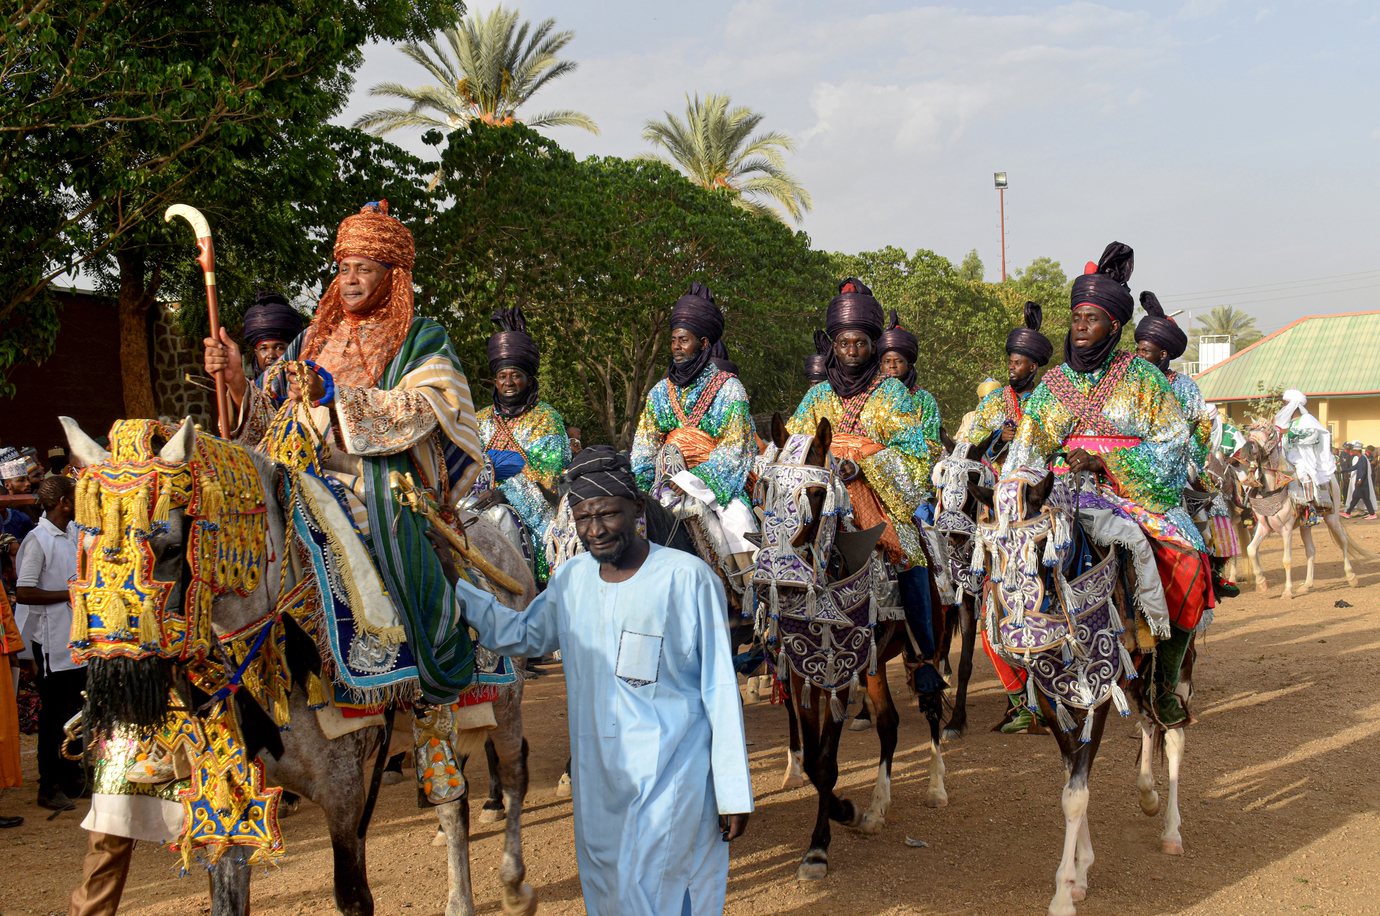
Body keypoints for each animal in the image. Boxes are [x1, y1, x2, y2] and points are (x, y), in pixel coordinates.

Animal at [65, 419, 538, 916]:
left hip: (505, 705)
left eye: (171, 547)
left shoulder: (343, 792)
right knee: (453, 801)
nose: (117, 683)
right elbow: (227, 899)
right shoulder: (228, 796)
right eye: (86, 545)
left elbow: (353, 896)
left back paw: (511, 881)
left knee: (513, 774)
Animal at [756, 413, 949, 882]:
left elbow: (826, 762)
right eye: (766, 488)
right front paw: (847, 811)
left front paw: (819, 847)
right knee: (889, 724)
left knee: (932, 707)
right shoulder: (808, 673)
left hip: (926, 649)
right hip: (873, 665)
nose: (778, 580)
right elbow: (811, 761)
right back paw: (877, 809)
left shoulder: (839, 673)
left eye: (816, 493)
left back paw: (935, 786)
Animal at [971, 469, 1197, 910]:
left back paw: (1172, 832)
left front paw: (1063, 892)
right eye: (992, 552)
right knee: (1147, 724)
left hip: (1173, 668)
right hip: (1137, 675)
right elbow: (1071, 778)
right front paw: (1080, 873)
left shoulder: (1100, 690)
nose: (1020, 636)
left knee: (1173, 732)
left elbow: (1076, 792)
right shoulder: (1054, 699)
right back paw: (1147, 794)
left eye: (1042, 547)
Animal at [1236, 419, 1363, 598]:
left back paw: (1351, 577)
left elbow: (1287, 560)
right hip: (1305, 526)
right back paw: (1307, 585)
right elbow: (1251, 549)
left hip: (1332, 518)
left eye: (1268, 435)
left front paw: (1287, 591)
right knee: (1311, 550)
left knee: (1343, 541)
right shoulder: (1264, 527)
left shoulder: (1287, 529)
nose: (1248, 448)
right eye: (1250, 433)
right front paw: (1261, 583)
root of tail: (1331, 477)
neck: (1272, 488)